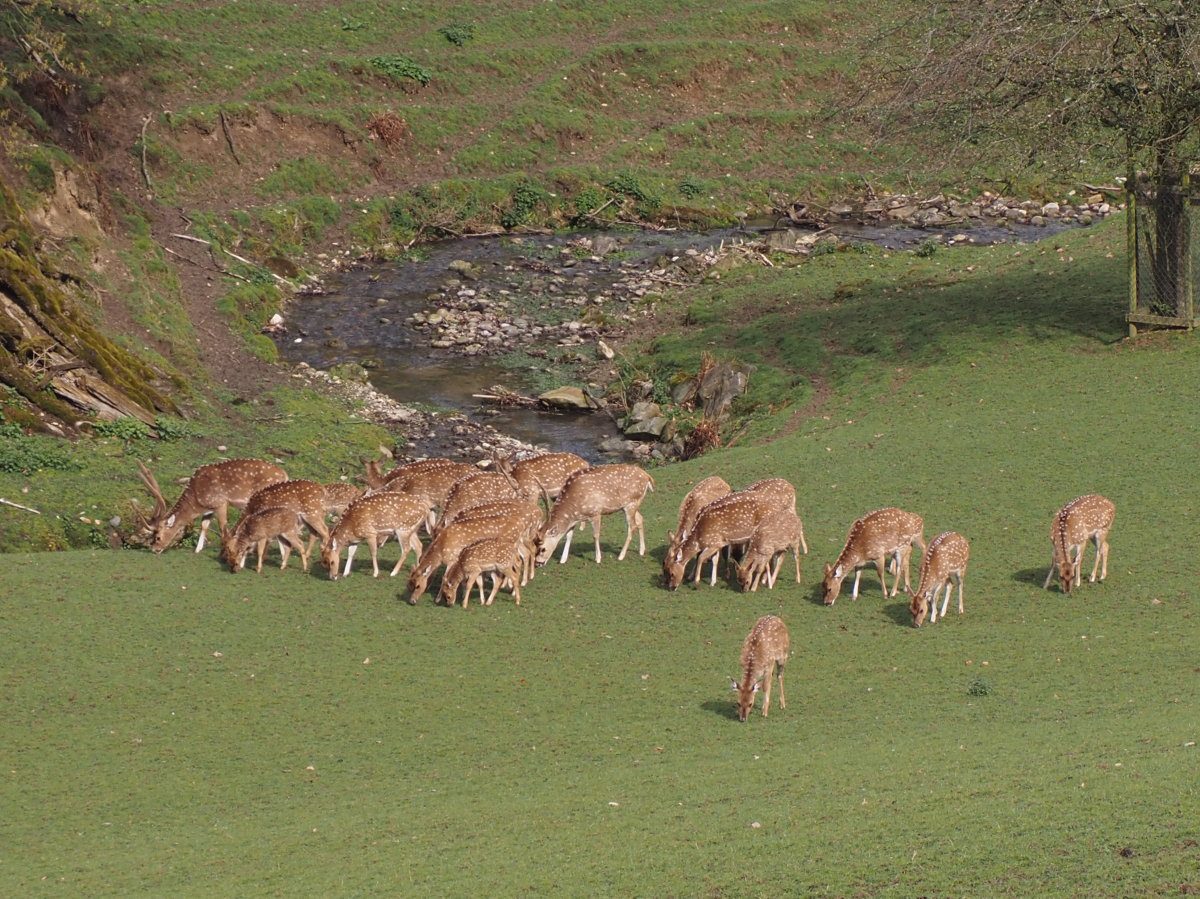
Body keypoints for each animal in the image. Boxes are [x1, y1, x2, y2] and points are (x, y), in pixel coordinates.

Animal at [136, 458, 288, 549]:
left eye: (158, 537)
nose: (154, 549)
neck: (197, 499)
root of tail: (285, 475)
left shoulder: (220, 502)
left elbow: (222, 527)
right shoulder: (209, 508)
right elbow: (204, 525)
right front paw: (197, 550)